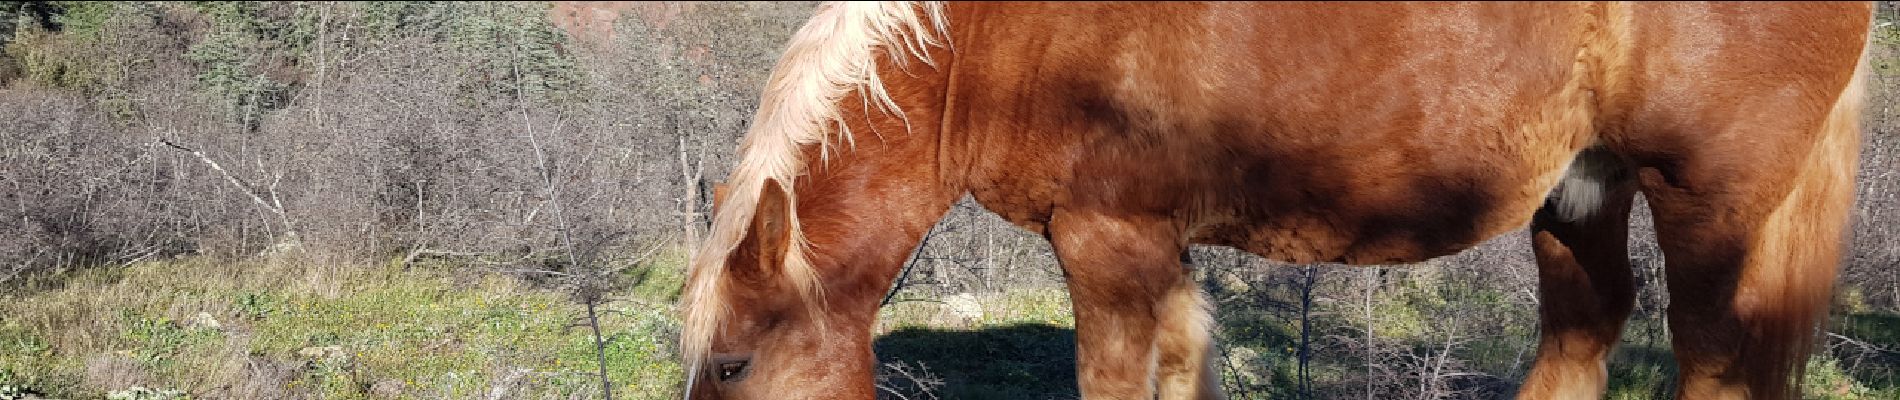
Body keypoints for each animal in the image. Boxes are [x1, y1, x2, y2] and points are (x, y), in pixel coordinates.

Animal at [680, 1, 1869, 398]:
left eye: (732, 364)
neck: (986, 39)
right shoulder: (1156, 244)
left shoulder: (1104, 243)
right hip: (1582, 193)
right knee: (1583, 334)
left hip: (1709, 204)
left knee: (1712, 357)